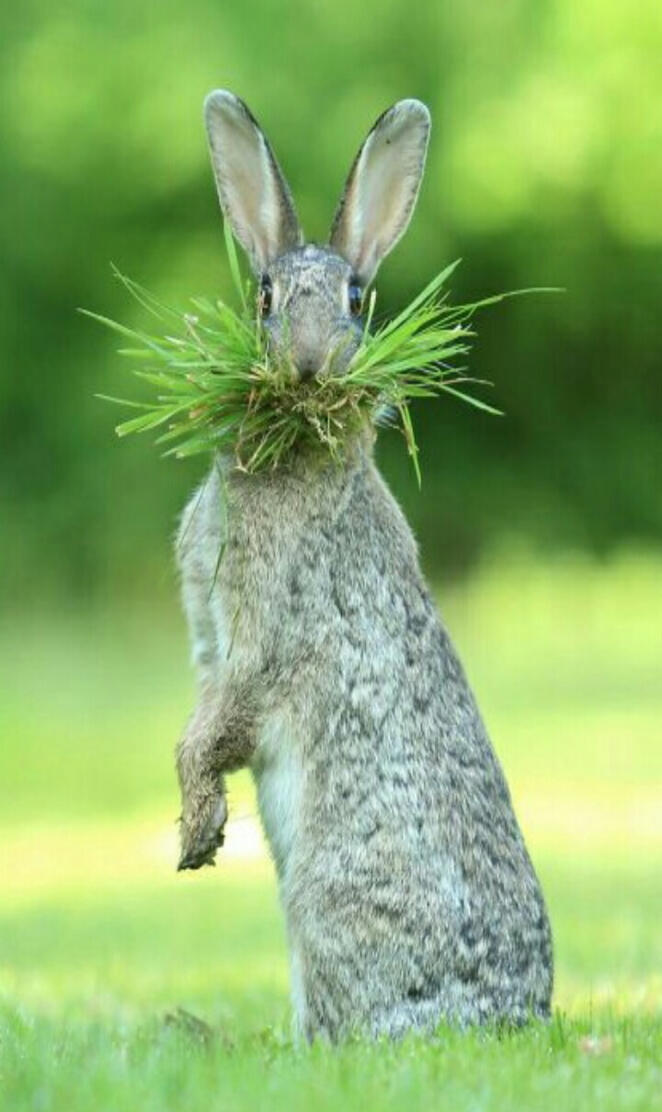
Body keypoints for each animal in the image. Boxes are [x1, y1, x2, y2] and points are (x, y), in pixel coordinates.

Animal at [175, 89, 553, 1041]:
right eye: (264, 295)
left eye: (355, 297)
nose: (309, 363)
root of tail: (513, 1018)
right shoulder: (210, 643)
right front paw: (201, 829)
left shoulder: (260, 641)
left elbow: (218, 726)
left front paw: (195, 832)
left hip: (325, 900)